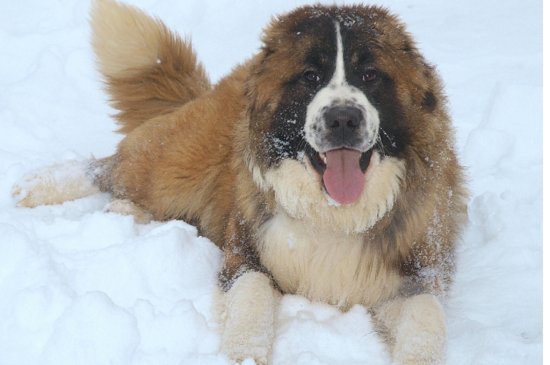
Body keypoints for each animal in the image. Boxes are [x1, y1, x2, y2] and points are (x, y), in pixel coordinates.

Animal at [12, 1, 468, 362]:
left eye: (370, 75)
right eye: (309, 77)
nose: (343, 118)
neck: (333, 214)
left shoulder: (419, 272)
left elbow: (427, 319)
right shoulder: (245, 252)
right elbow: (251, 296)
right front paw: (246, 354)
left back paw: (124, 212)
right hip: (177, 162)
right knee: (108, 167)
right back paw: (41, 187)